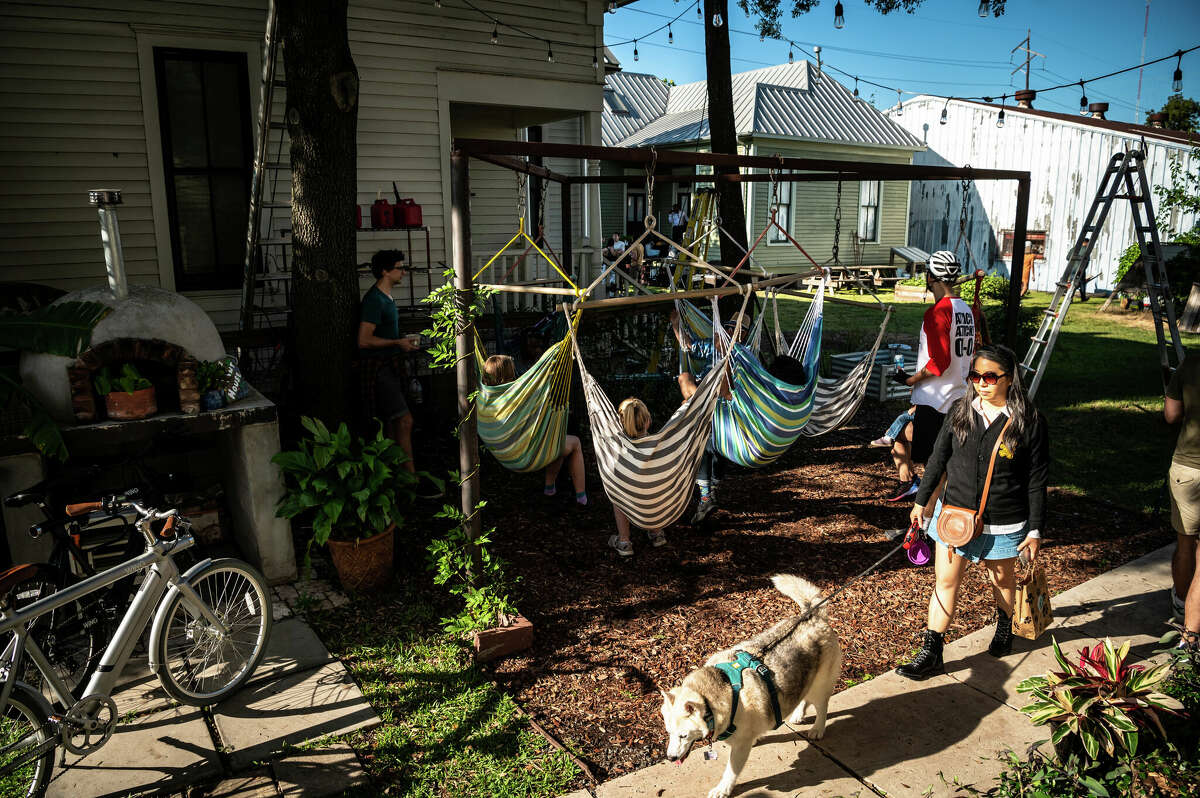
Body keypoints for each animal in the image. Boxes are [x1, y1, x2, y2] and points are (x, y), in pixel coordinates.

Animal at [657, 573, 844, 796]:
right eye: (669, 732)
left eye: (683, 735)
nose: (671, 758)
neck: (723, 689)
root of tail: (812, 616)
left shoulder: (740, 747)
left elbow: (731, 771)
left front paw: (723, 789)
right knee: (803, 695)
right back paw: (798, 713)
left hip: (820, 686)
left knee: (822, 705)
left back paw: (818, 728)